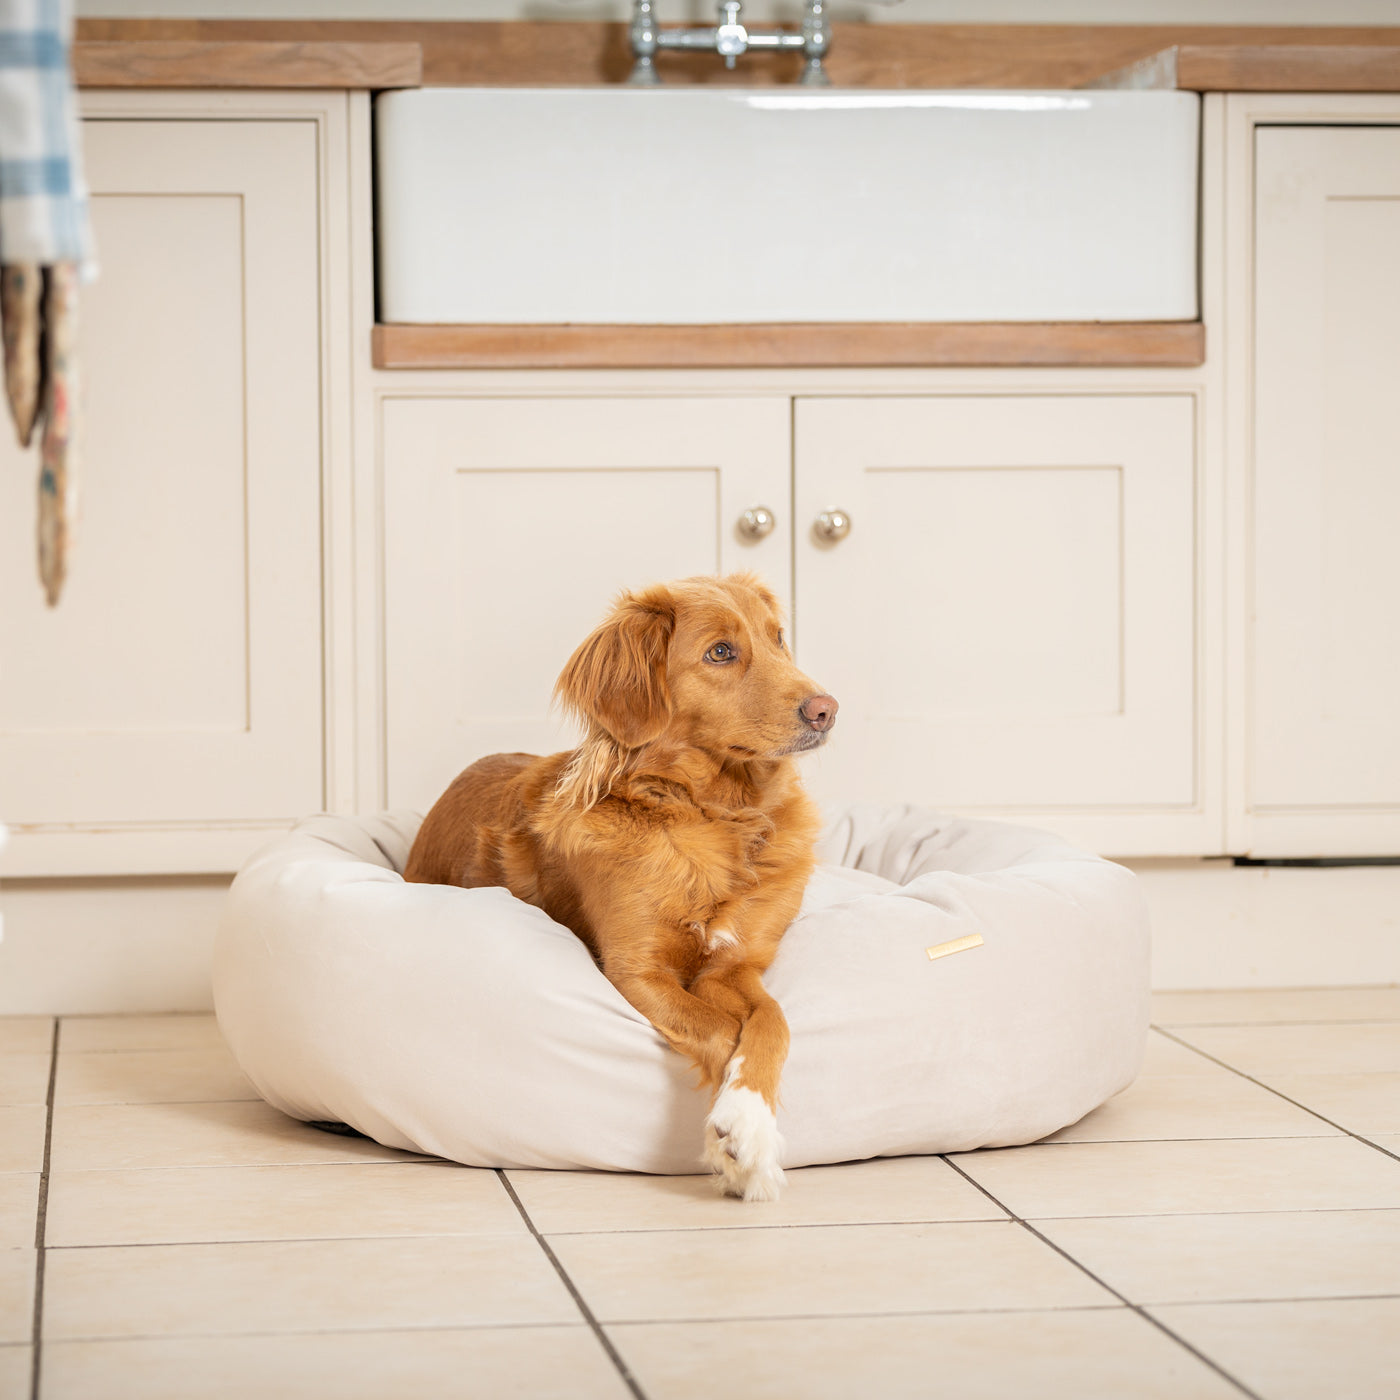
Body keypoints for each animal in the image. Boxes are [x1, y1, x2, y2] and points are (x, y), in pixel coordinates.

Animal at [408, 574, 840, 1198]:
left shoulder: (736, 967)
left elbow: (771, 1023)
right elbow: (719, 1029)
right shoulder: (637, 971)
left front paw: (749, 1123)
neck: (714, 816)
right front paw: (739, 1143)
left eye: (778, 638)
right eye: (720, 652)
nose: (826, 709)